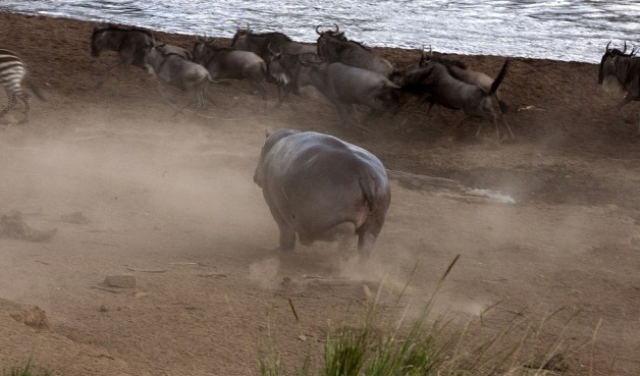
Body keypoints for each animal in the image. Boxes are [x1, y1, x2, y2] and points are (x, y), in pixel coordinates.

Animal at [255, 128, 390, 260]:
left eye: (261, 148)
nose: (255, 176)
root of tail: (366, 174)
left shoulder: (275, 207)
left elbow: (285, 232)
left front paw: (277, 251)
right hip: (374, 223)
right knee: (365, 246)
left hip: (322, 223)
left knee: (345, 234)